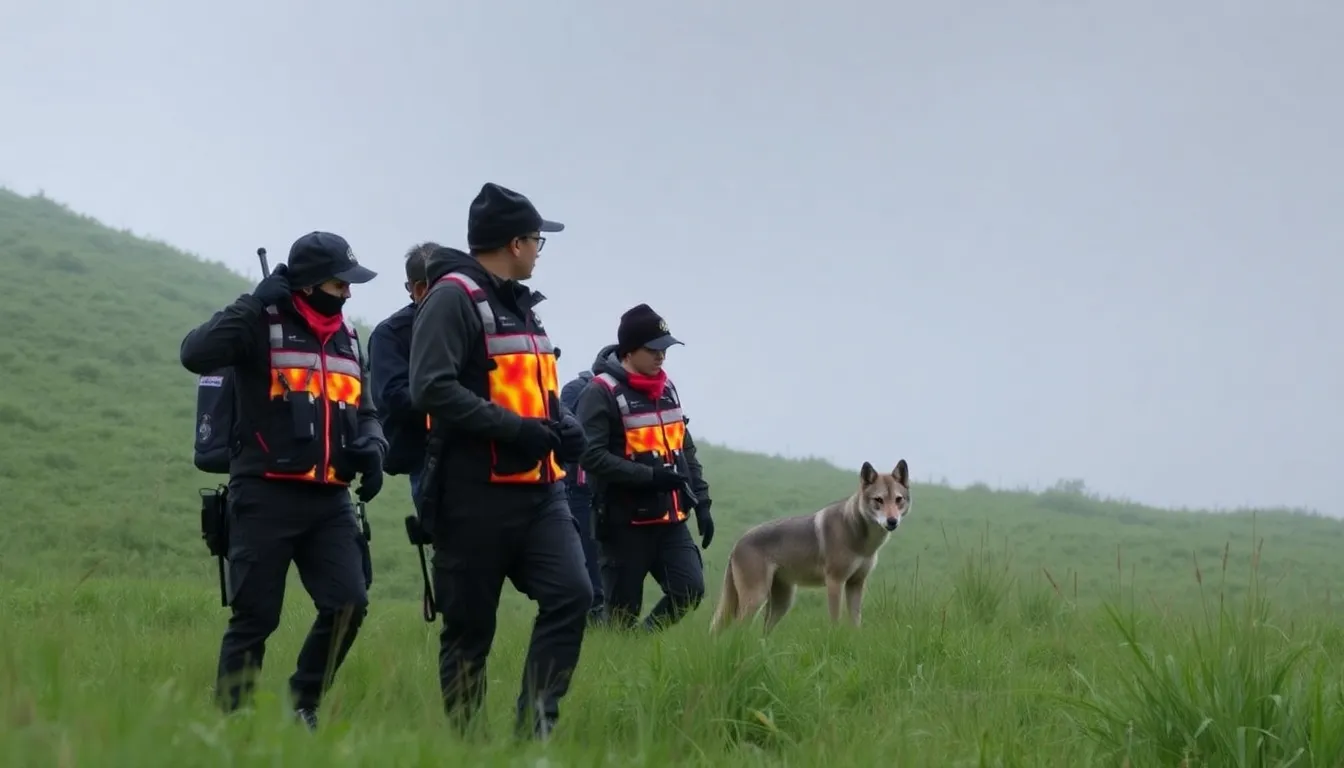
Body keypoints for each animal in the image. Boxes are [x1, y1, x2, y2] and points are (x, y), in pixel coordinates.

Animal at [708, 459, 911, 634]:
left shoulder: (856, 583)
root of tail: (737, 543)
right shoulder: (835, 582)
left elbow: (855, 621)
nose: (892, 521)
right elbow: (835, 619)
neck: (861, 539)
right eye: (879, 500)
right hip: (756, 598)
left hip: (782, 603)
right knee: (738, 628)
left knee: (760, 631)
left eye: (898, 499)